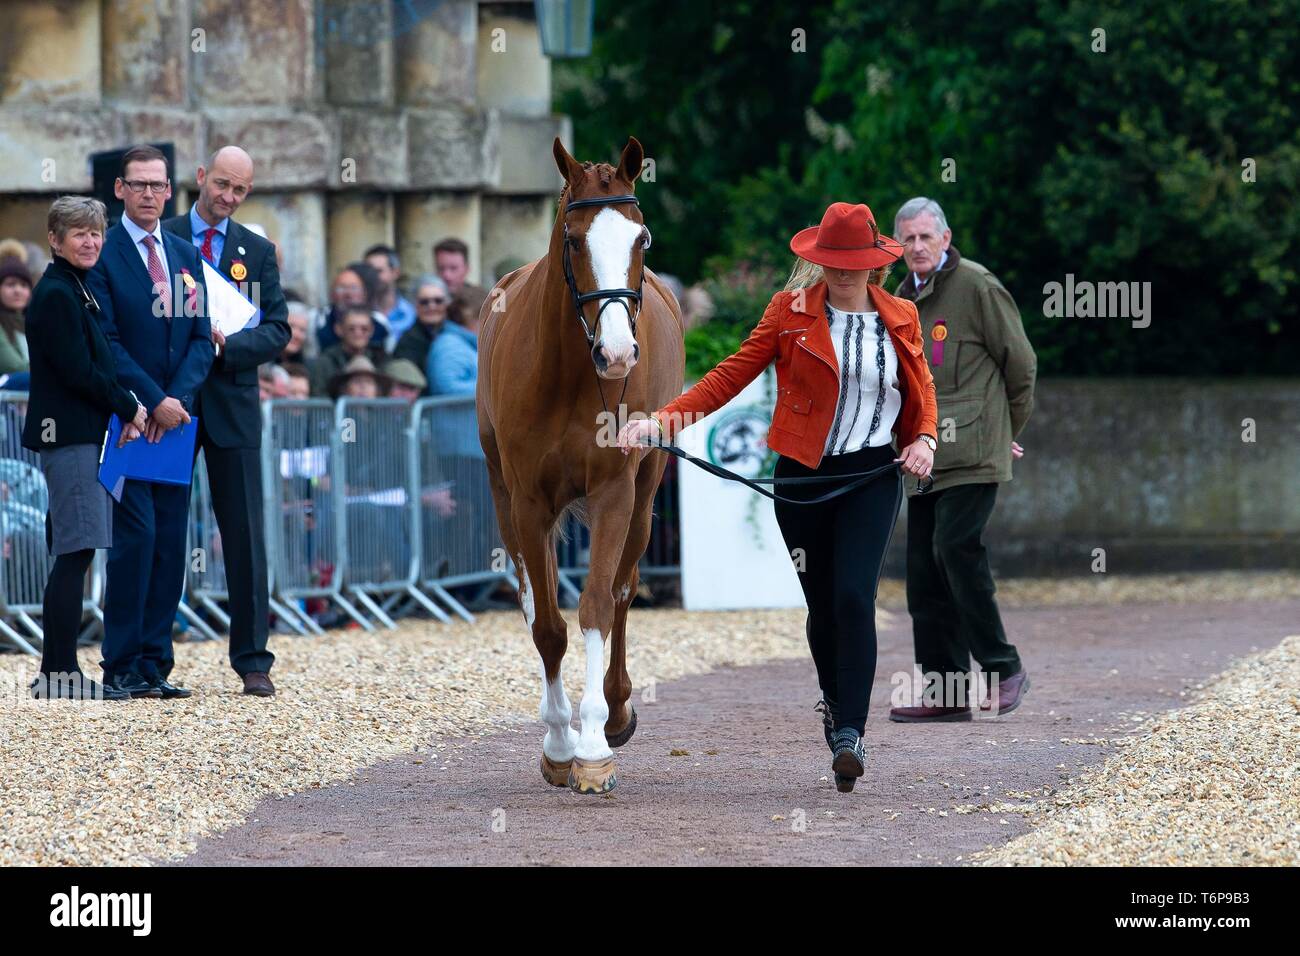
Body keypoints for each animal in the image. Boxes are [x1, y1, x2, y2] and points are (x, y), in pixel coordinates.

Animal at [475, 134, 681, 790]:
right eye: (572, 241)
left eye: (642, 238)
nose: (617, 353)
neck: (568, 375)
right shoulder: (527, 501)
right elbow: (546, 623)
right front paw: (561, 742)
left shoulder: (616, 490)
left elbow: (595, 606)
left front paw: (593, 744)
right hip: (503, 497)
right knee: (531, 598)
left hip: (646, 494)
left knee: (622, 588)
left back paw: (615, 709)